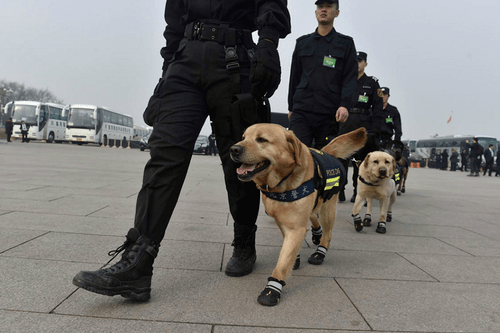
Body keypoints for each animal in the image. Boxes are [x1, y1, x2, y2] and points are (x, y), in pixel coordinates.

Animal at [230, 123, 368, 304]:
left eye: (261, 139)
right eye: (243, 137)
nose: (233, 149)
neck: (282, 183)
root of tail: (327, 151)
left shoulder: (295, 227)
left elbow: (282, 263)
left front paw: (272, 289)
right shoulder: (284, 220)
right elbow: (289, 249)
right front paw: (295, 258)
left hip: (328, 208)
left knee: (327, 233)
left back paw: (320, 252)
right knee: (313, 216)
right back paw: (316, 234)